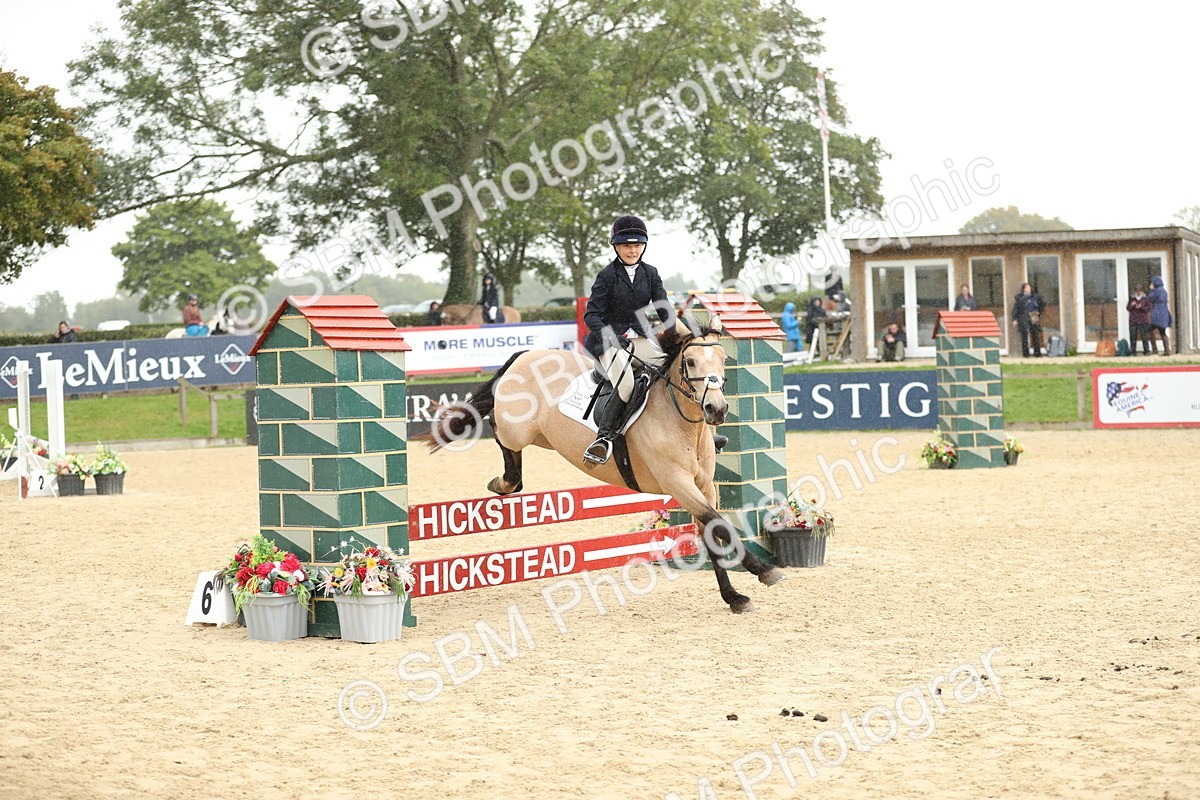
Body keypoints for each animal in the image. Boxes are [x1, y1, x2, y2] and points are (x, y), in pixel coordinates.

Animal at [421, 323, 786, 614]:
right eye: (691, 361)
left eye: (723, 361)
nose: (717, 409)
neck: (681, 421)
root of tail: (524, 355)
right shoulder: (677, 483)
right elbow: (719, 524)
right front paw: (765, 571)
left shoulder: (703, 486)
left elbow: (713, 531)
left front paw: (734, 597)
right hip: (516, 429)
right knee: (498, 430)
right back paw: (503, 482)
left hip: (543, 437)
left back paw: (505, 482)